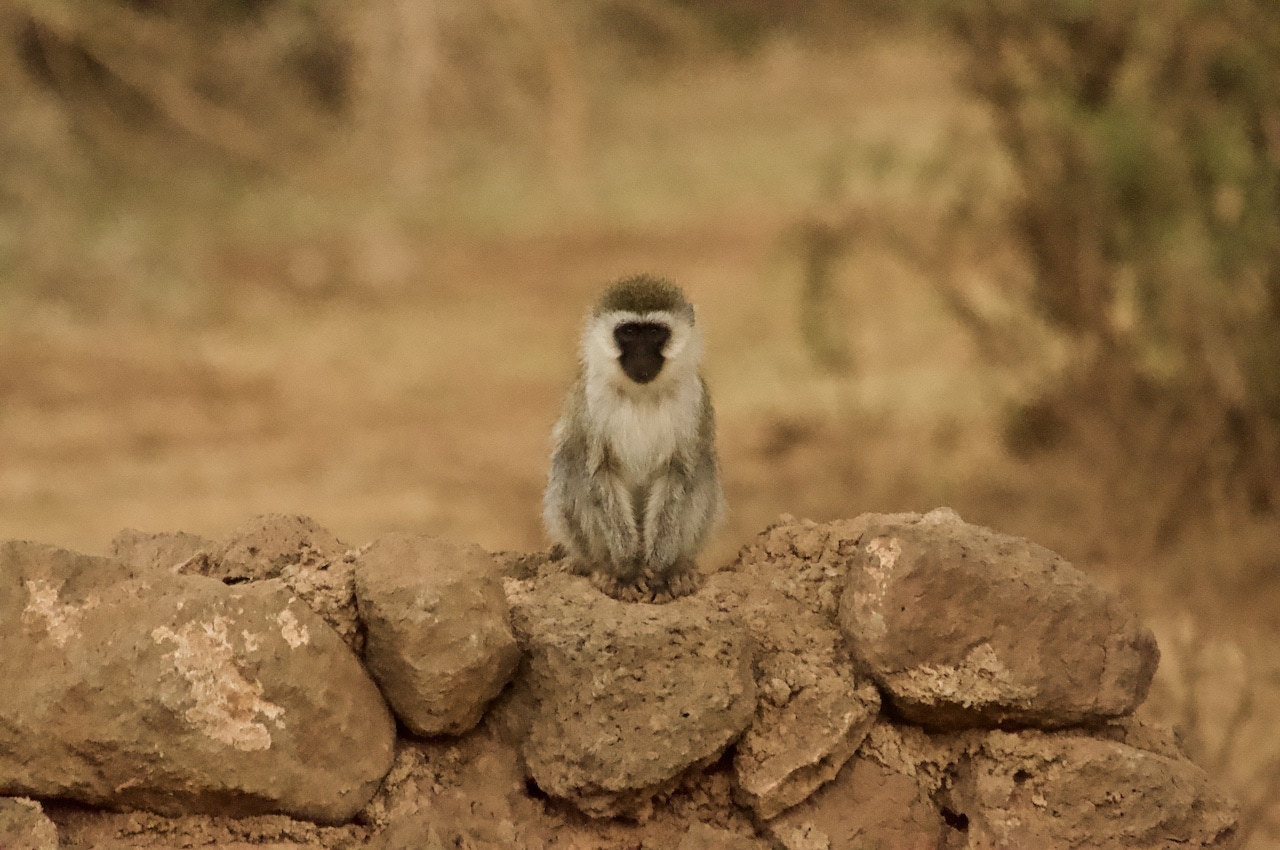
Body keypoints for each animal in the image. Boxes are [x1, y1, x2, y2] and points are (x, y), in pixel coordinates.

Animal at [537, 275, 721, 601]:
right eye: (630, 332)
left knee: (703, 467)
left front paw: (660, 564)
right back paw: (607, 570)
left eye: (655, 333)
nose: (642, 358)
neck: (641, 393)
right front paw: (628, 565)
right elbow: (598, 472)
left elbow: (680, 471)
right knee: (570, 463)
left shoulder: (694, 398)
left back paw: (677, 568)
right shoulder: (590, 399)